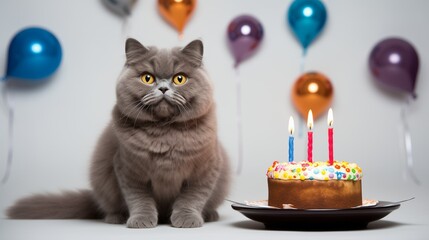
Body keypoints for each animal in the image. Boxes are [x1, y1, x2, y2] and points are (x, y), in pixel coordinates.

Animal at [6, 38, 231, 228]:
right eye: (147, 78)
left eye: (179, 79)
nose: (163, 89)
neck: (164, 132)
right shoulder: (127, 168)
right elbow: (139, 198)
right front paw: (141, 220)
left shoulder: (206, 169)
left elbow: (192, 197)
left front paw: (186, 219)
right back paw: (116, 218)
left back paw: (210, 215)